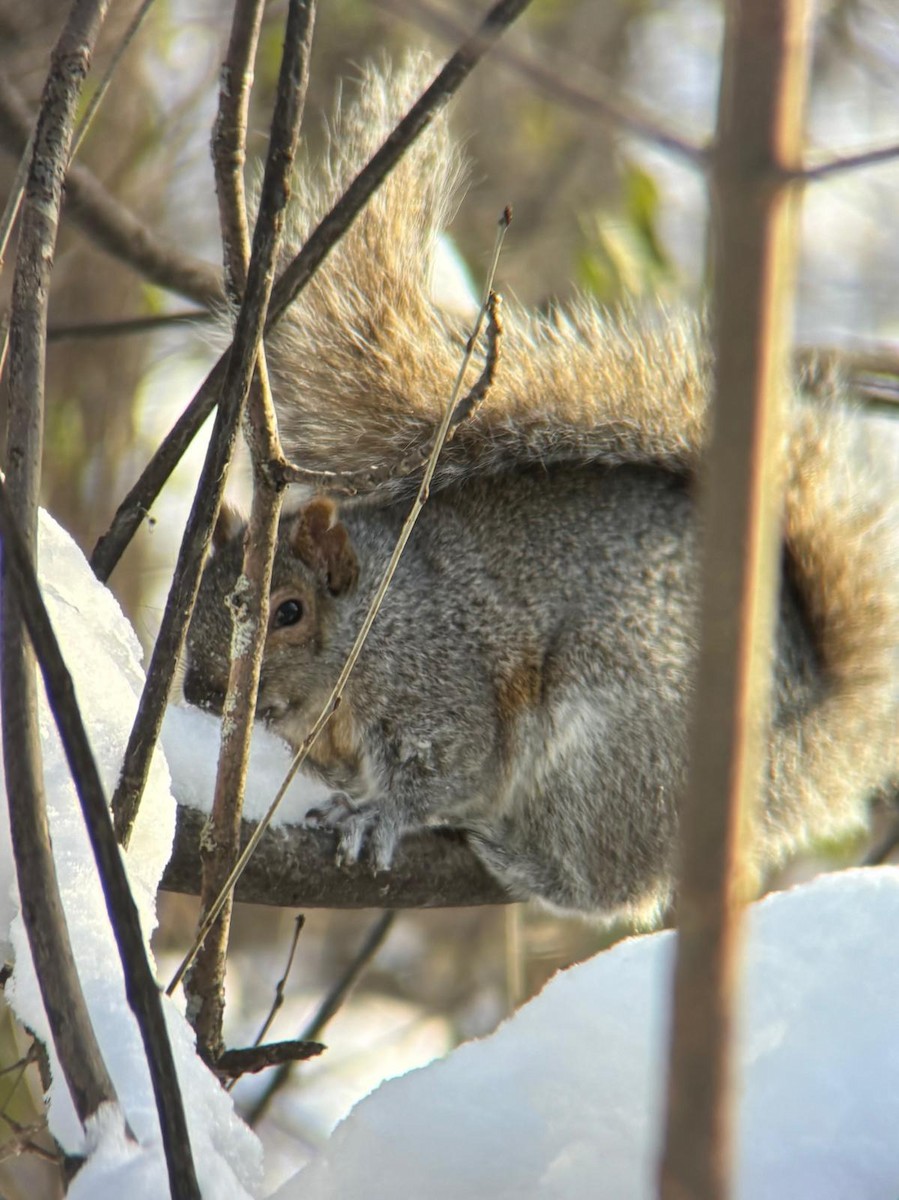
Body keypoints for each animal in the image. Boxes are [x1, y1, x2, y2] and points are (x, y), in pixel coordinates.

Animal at [183, 57, 899, 923]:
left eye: (288, 611)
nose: (199, 689)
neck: (372, 623)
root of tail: (784, 763)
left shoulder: (440, 683)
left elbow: (451, 766)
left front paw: (379, 813)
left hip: (611, 754)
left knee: (609, 884)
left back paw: (524, 861)